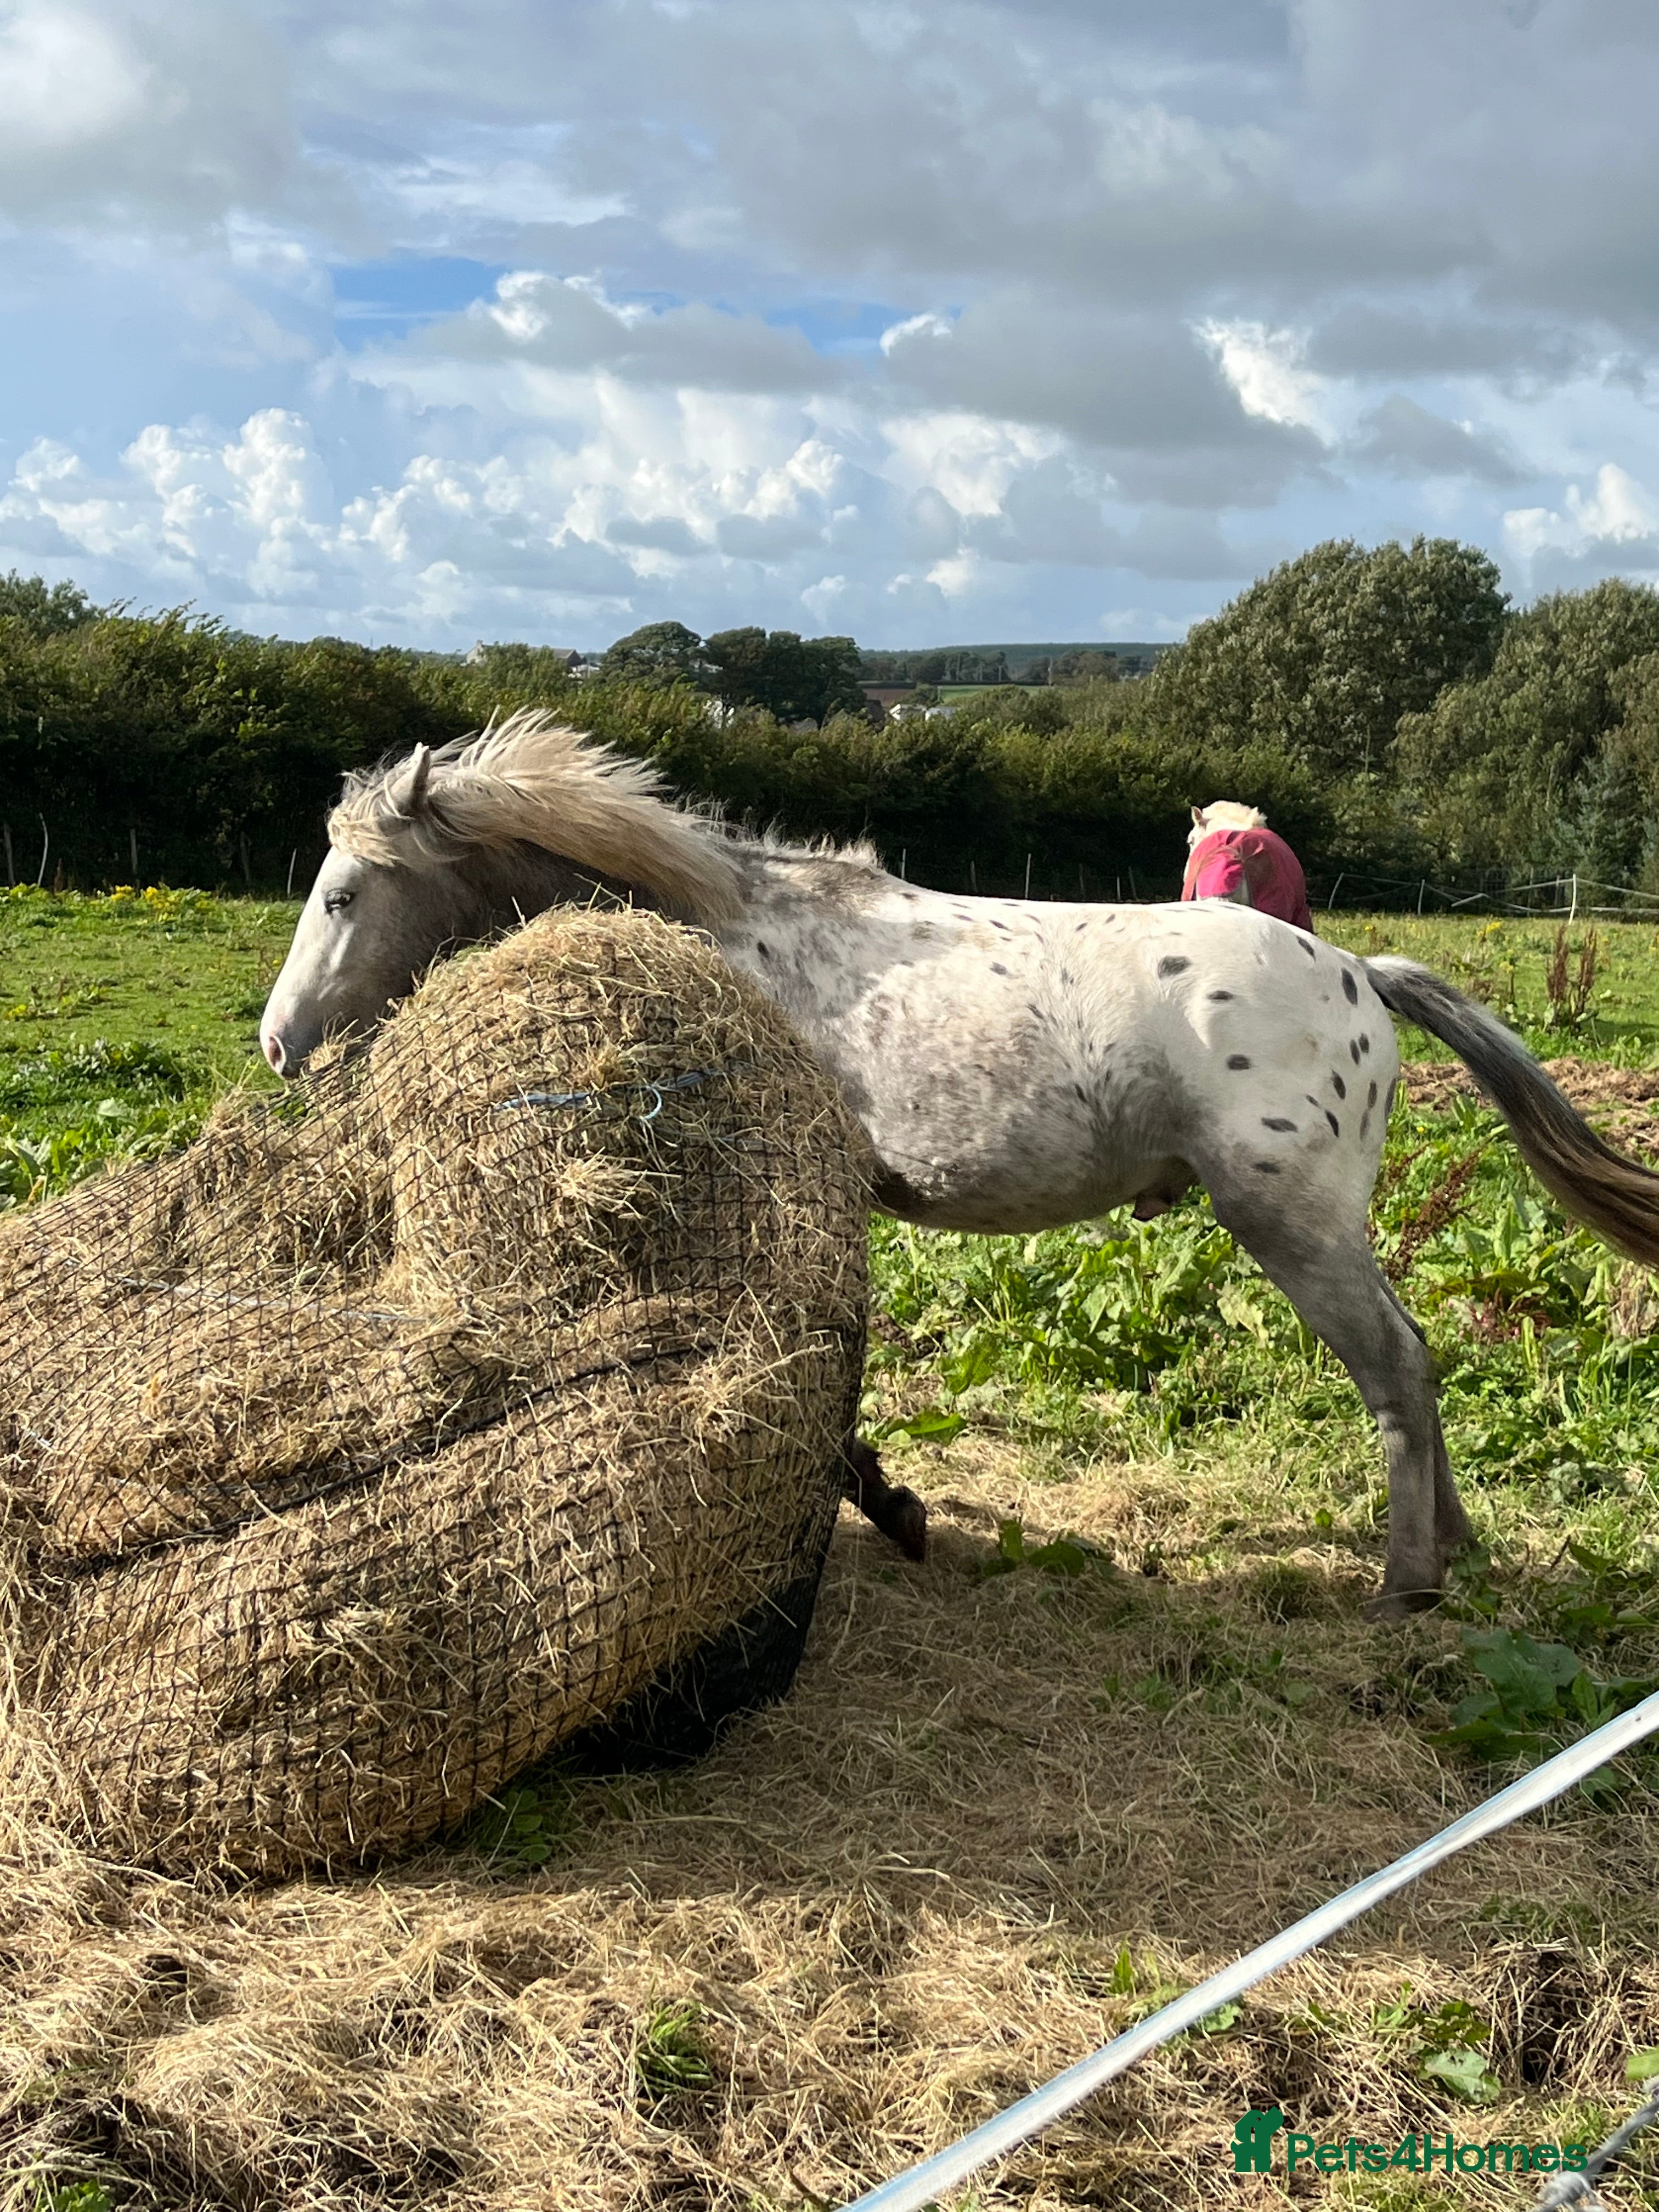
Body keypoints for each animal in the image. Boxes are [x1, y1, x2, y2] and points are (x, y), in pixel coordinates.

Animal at [260, 710, 1659, 1616]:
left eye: (341, 893)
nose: (279, 1046)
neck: (738, 940)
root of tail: (1366, 976)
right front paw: (891, 1500)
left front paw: (887, 1503)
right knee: (1415, 1365)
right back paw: (1457, 1552)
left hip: (1295, 1229)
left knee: (1400, 1369)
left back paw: (1408, 1582)